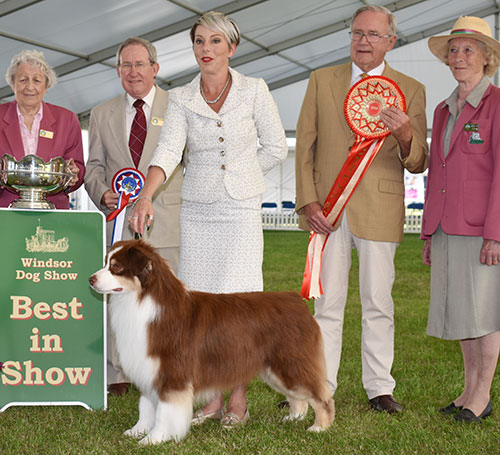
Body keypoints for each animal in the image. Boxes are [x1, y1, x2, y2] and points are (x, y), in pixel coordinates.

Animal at [88, 240, 334, 448]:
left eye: (116, 267)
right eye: (106, 262)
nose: (90, 279)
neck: (142, 301)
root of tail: (297, 300)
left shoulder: (172, 372)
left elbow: (164, 412)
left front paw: (155, 438)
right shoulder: (149, 368)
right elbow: (146, 405)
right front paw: (137, 431)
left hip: (291, 362)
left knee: (321, 396)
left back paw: (319, 427)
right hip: (275, 369)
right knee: (298, 397)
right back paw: (293, 418)